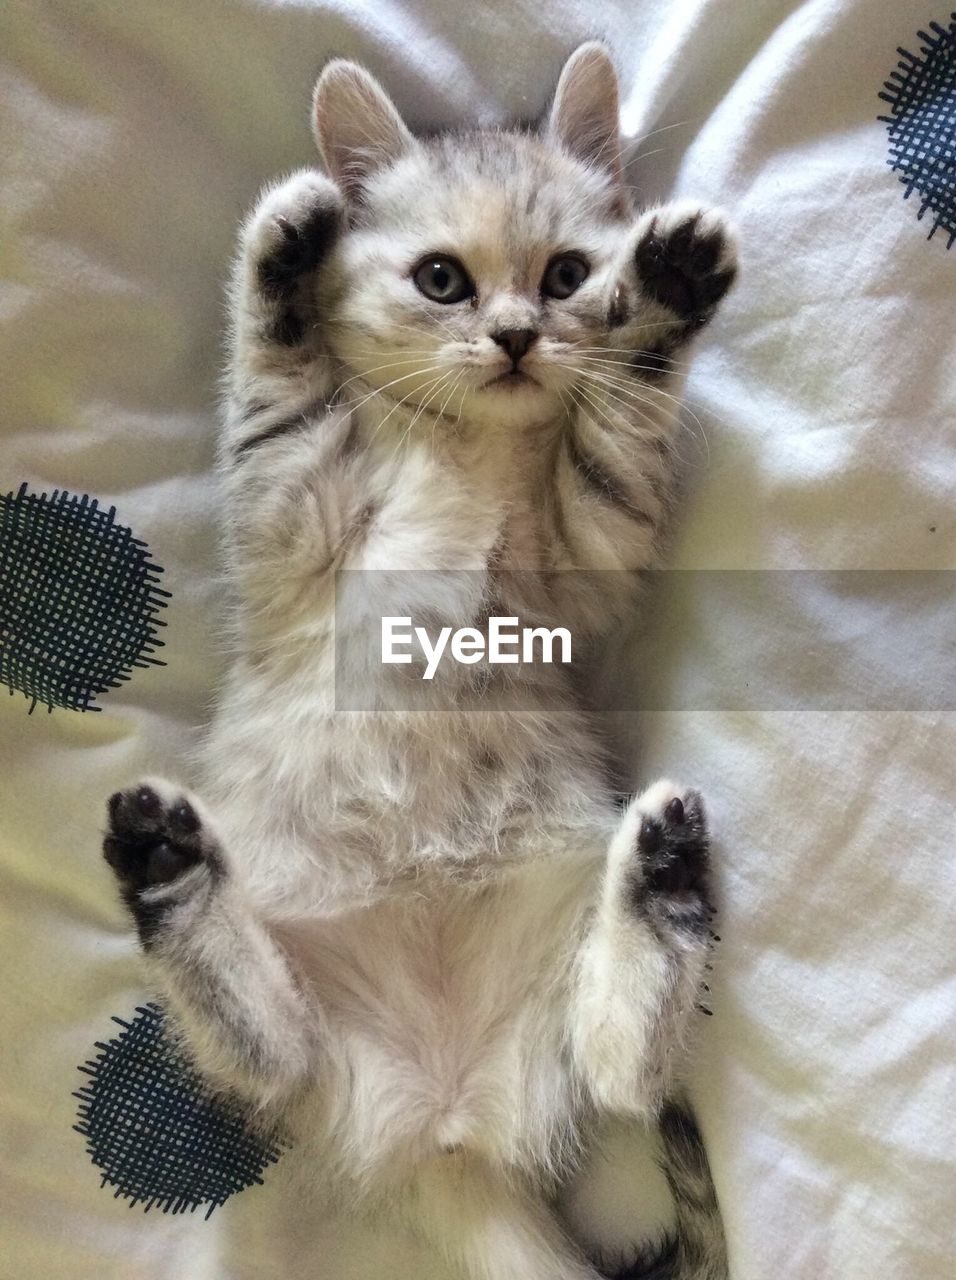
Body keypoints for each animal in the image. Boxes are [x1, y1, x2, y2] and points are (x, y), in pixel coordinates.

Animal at [103, 42, 732, 1280]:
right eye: (442, 279)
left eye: (566, 275)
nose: (514, 334)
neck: (464, 458)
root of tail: (447, 1130)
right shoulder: (290, 522)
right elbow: (278, 395)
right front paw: (284, 252)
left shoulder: (581, 567)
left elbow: (615, 438)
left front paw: (662, 303)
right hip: (304, 1053)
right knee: (266, 1047)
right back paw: (167, 868)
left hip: (551, 983)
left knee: (617, 1066)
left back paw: (665, 879)